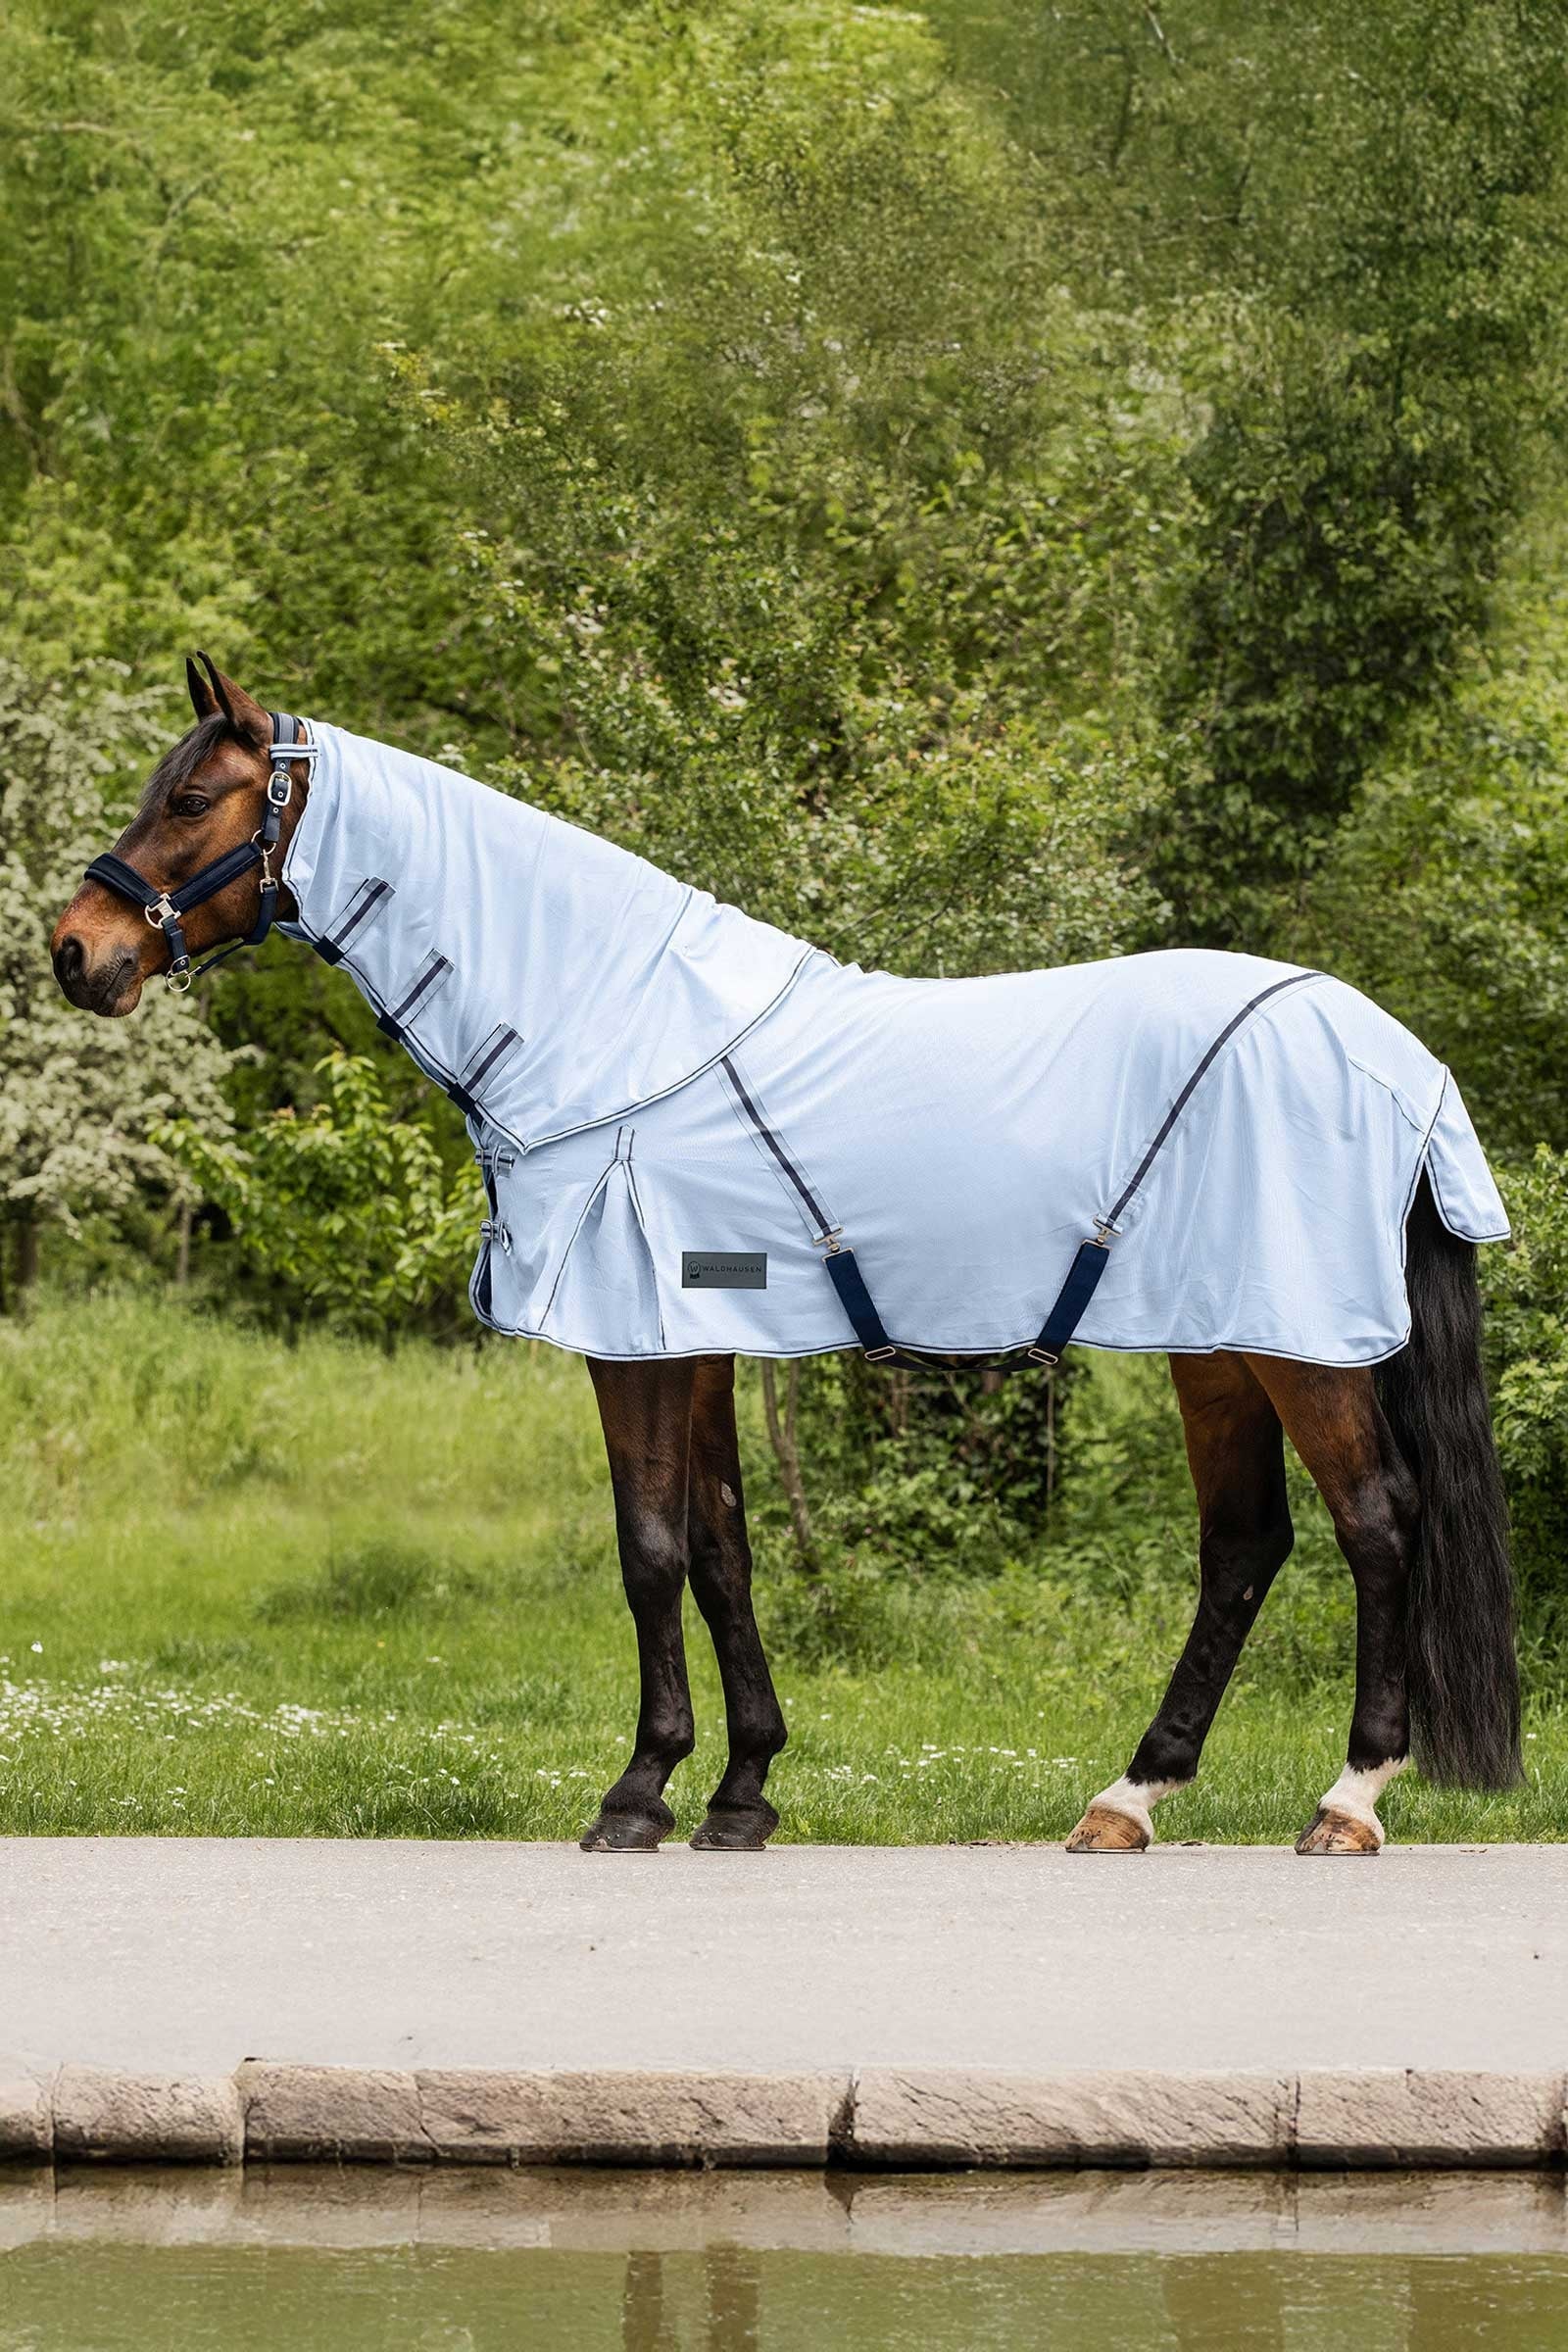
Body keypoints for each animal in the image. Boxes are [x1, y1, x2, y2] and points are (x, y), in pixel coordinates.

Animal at [51, 657, 1521, 1859]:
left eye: (193, 798)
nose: (78, 952)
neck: (617, 1030)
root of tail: (1396, 1057)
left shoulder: (635, 1344)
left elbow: (650, 1549)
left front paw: (638, 1794)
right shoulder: (695, 1343)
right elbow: (722, 1550)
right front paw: (742, 1791)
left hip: (1300, 1346)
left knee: (1377, 1523)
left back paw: (1348, 1801)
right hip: (1219, 1340)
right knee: (1245, 1543)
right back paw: (1129, 1798)